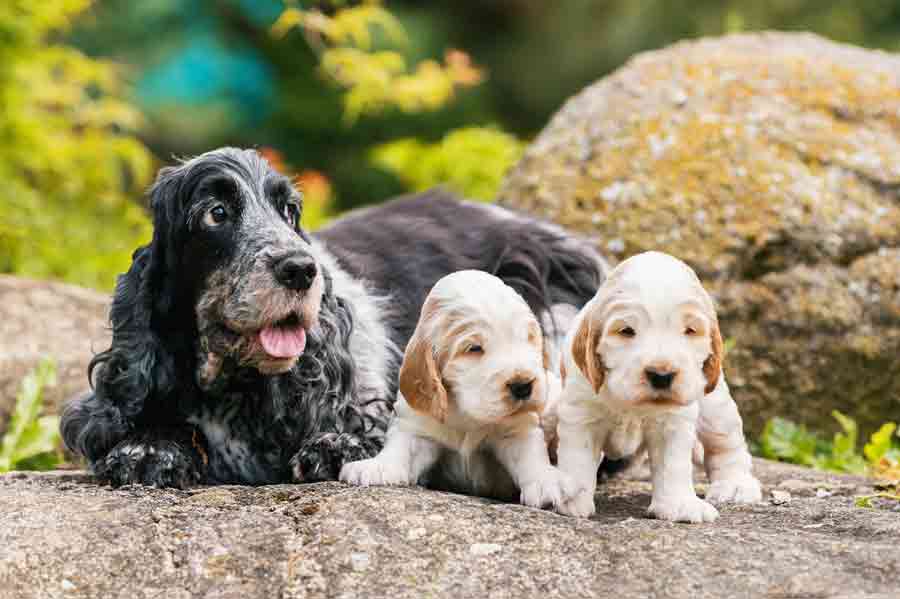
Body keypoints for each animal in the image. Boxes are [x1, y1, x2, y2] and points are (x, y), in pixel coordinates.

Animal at [342, 270, 580, 508]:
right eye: (474, 348)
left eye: (528, 338)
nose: (523, 386)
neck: (467, 414)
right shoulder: (418, 427)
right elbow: (401, 448)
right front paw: (376, 467)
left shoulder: (517, 429)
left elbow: (530, 455)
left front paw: (547, 481)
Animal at [556, 251, 760, 524]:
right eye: (626, 330)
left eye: (689, 330)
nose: (661, 375)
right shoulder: (581, 415)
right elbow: (577, 458)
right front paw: (570, 498)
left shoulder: (672, 422)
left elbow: (673, 466)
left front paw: (680, 504)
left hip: (715, 408)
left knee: (726, 444)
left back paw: (735, 485)